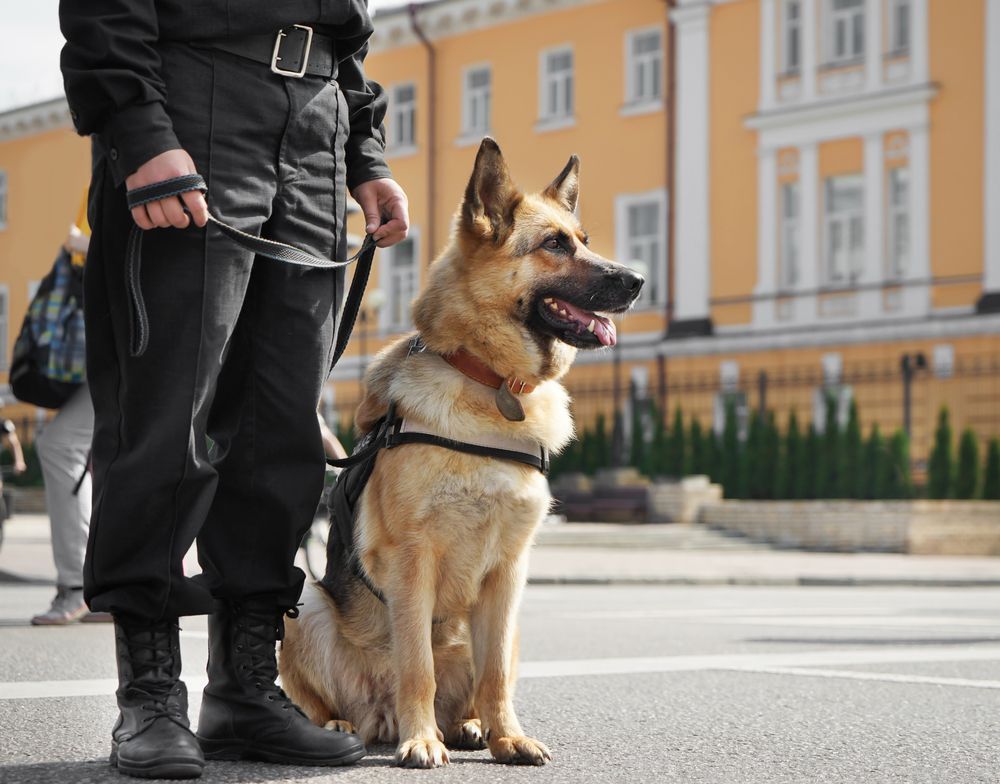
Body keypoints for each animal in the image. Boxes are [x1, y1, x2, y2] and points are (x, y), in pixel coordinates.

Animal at [278, 138, 644, 768]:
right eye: (554, 245)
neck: (490, 382)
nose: (640, 279)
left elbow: (493, 673)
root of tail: (376, 717)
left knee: (478, 682)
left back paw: (470, 726)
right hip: (301, 605)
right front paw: (421, 739)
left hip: (514, 625)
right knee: (331, 698)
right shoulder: (412, 562)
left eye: (583, 239)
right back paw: (342, 726)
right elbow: (416, 664)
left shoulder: (509, 574)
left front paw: (507, 736)